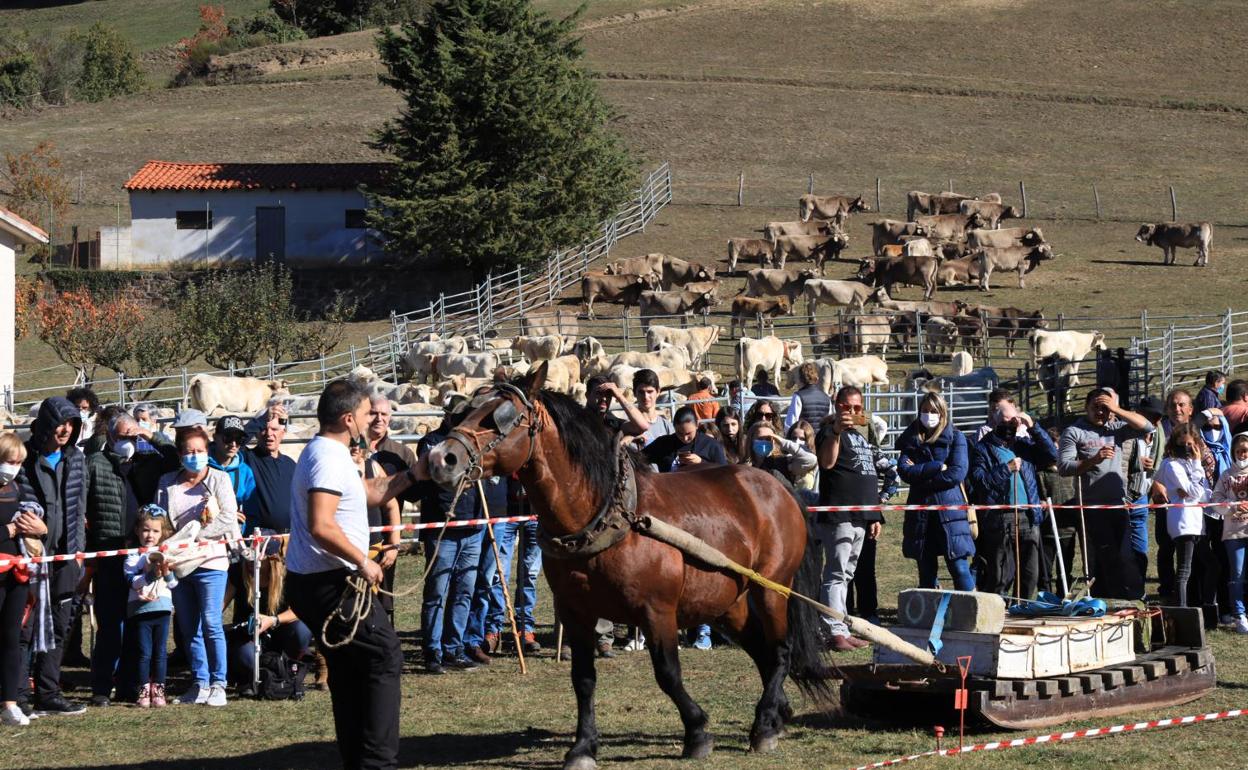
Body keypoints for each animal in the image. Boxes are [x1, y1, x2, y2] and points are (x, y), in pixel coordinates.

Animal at [429, 364, 838, 763]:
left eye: (499, 417)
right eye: (462, 412)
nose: (441, 459)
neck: (604, 516)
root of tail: (772, 482)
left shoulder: (657, 611)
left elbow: (668, 673)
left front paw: (697, 732)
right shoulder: (575, 612)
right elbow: (583, 678)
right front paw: (583, 746)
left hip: (771, 589)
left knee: (781, 649)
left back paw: (765, 724)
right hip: (726, 601)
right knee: (761, 649)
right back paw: (777, 714)